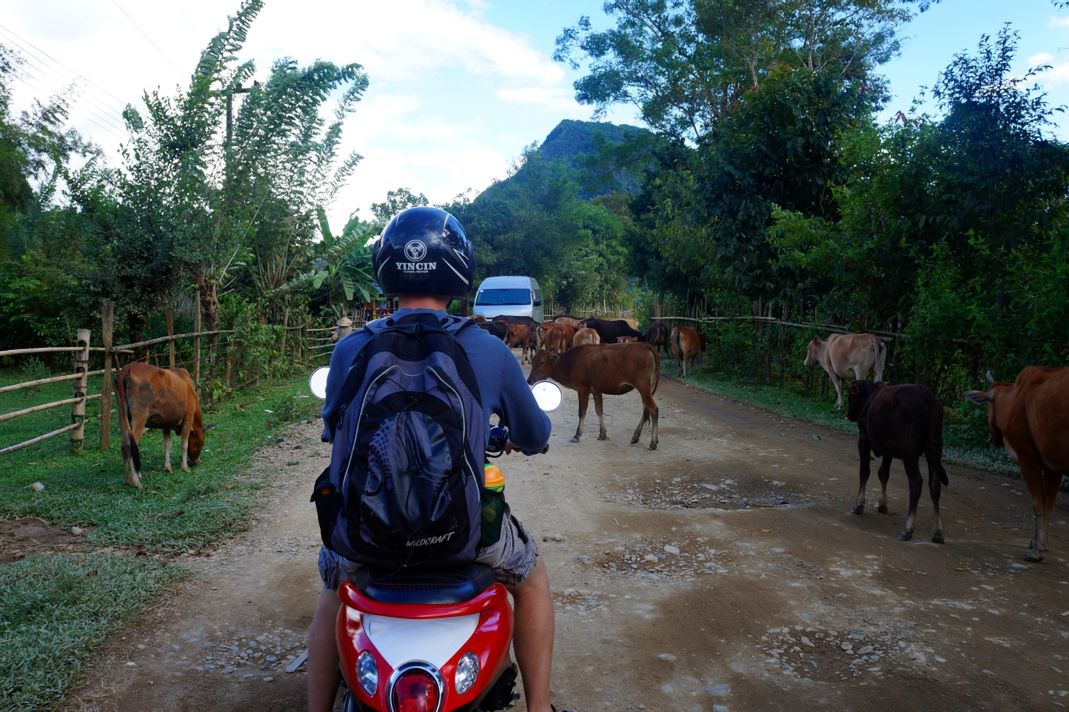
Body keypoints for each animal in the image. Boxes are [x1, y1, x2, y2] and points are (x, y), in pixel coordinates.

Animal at [846, 380, 949, 540]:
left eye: (850, 396)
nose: (847, 414)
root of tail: (929, 399)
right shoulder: (888, 448)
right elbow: (883, 473)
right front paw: (882, 504)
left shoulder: (863, 438)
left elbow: (864, 471)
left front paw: (858, 505)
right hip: (934, 449)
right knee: (935, 486)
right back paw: (937, 531)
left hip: (909, 451)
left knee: (916, 482)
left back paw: (908, 528)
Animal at [966, 365, 1064, 560]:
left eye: (989, 405)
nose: (991, 437)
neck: (1014, 398)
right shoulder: (1053, 465)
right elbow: (1049, 504)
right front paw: (1039, 543)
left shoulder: (1027, 457)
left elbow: (1038, 503)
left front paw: (1036, 549)